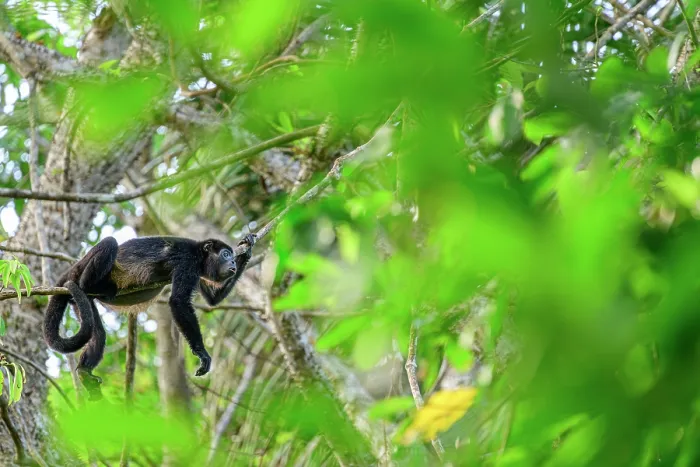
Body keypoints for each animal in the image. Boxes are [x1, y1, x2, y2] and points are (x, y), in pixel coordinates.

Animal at [43, 234, 256, 399]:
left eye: (232, 256)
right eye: (225, 254)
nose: (233, 262)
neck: (200, 256)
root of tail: (75, 267)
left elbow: (212, 299)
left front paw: (248, 249)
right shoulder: (188, 261)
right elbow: (178, 301)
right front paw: (202, 354)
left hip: (81, 303)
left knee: (98, 334)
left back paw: (84, 372)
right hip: (82, 273)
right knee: (109, 243)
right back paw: (96, 285)